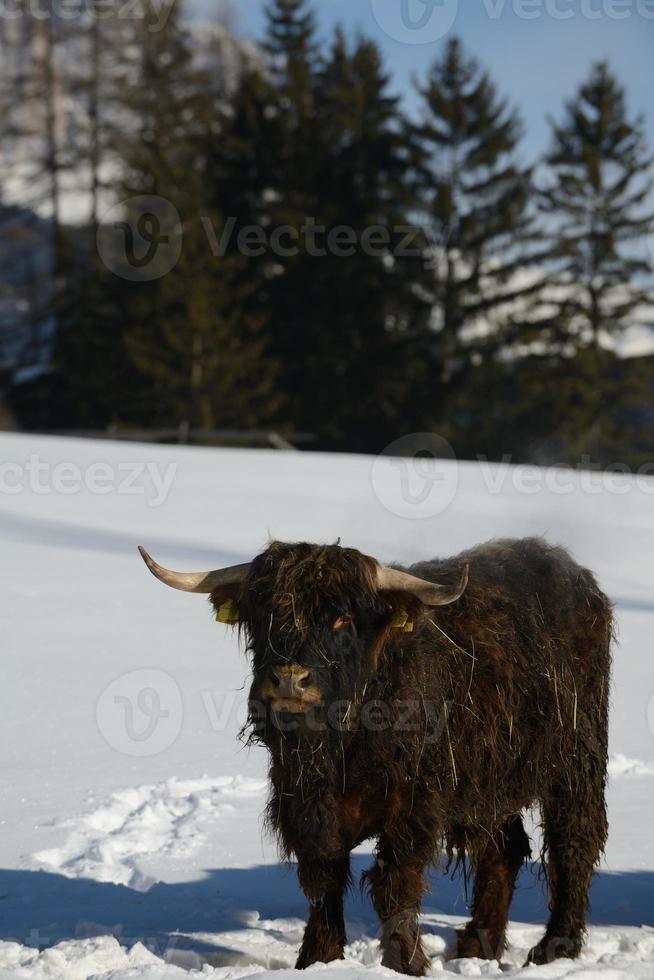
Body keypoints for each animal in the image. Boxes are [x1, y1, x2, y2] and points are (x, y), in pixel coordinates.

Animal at [140, 540, 616, 976]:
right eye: (264, 615)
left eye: (343, 618)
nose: (290, 680)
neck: (340, 748)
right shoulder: (305, 805)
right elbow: (323, 881)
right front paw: (318, 960)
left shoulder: (413, 808)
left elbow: (395, 885)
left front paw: (405, 964)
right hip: (489, 782)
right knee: (505, 849)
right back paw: (477, 948)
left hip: (577, 758)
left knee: (574, 842)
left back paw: (555, 948)